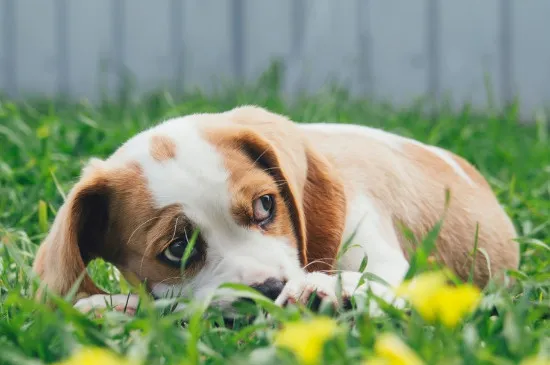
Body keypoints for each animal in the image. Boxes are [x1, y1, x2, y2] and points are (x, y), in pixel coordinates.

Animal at [31, 104, 520, 312]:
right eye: (178, 250)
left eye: (266, 205)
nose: (269, 289)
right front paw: (116, 306)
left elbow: (376, 279)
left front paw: (330, 291)